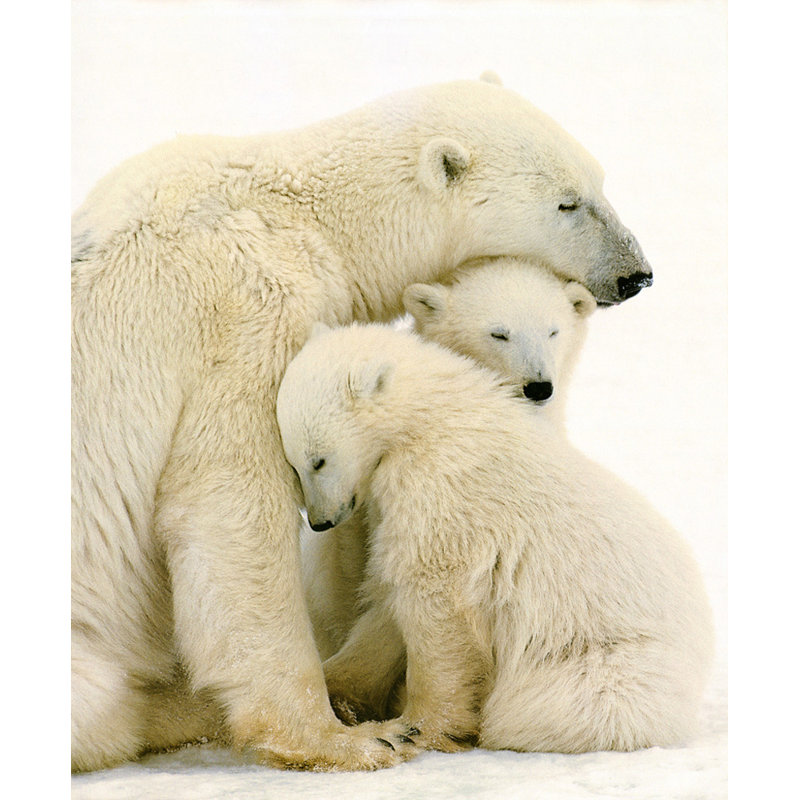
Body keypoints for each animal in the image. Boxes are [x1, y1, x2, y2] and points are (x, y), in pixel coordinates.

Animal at [277, 322, 713, 754]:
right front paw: (339, 690)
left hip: (608, 660)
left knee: (551, 706)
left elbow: (435, 602)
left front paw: (418, 726)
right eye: (293, 464)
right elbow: (389, 601)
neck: (431, 419)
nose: (320, 522)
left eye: (318, 460)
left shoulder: (443, 491)